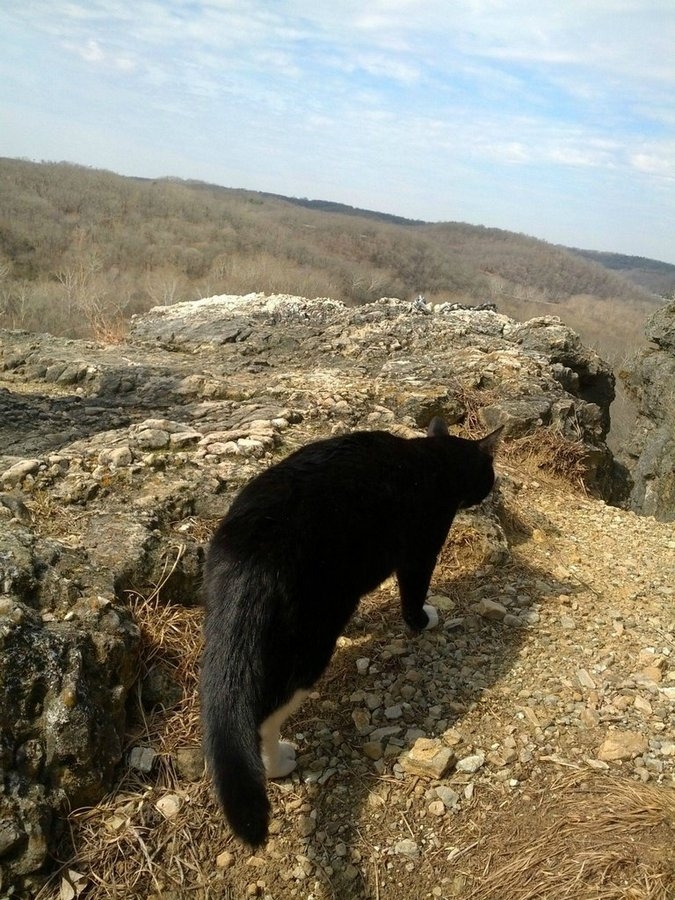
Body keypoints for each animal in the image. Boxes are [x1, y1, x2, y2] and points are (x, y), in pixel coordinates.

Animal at [201, 418, 502, 848]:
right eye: (490, 473)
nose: (491, 485)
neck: (433, 458)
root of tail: (247, 551)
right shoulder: (421, 548)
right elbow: (414, 591)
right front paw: (423, 619)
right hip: (310, 641)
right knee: (263, 716)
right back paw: (278, 763)